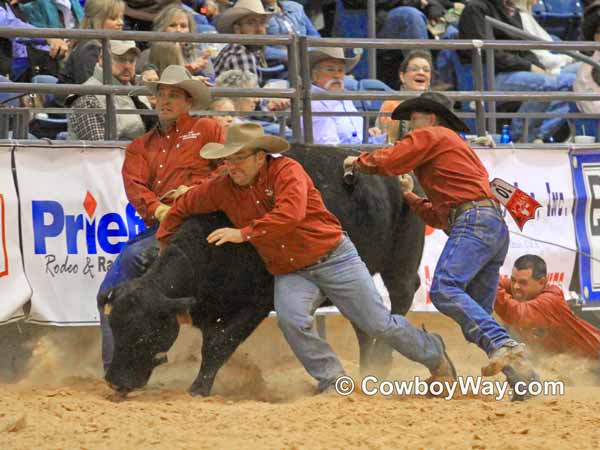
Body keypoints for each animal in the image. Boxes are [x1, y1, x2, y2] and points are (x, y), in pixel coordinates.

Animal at [99, 144, 426, 398]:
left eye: (144, 333)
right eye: (114, 325)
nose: (115, 381)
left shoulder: (256, 304)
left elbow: (219, 344)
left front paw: (198, 389)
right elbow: (212, 343)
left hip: (401, 261)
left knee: (400, 298)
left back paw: (382, 362)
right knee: (363, 323)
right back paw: (367, 368)